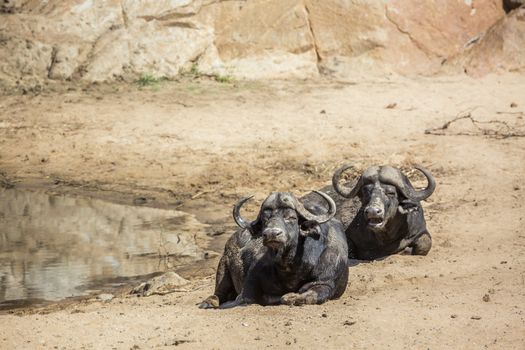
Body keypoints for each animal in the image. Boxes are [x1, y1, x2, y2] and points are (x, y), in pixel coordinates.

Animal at [200, 190, 348, 308]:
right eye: (265, 219)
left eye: (291, 217)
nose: (271, 233)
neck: (291, 268)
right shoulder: (252, 277)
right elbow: (246, 297)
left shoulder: (326, 282)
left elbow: (312, 295)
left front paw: (291, 297)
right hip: (223, 266)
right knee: (218, 293)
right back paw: (208, 302)